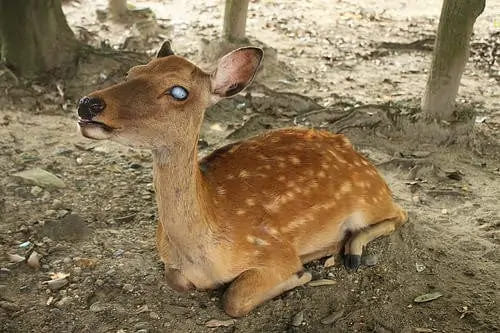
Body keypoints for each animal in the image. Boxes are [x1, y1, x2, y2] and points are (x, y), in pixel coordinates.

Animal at [77, 41, 406, 316]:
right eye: (132, 72)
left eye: (179, 91)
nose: (88, 103)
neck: (201, 254)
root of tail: (355, 151)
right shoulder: (170, 263)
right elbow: (177, 282)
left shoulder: (274, 251)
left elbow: (234, 300)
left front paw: (302, 274)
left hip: (369, 199)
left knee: (399, 215)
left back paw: (347, 251)